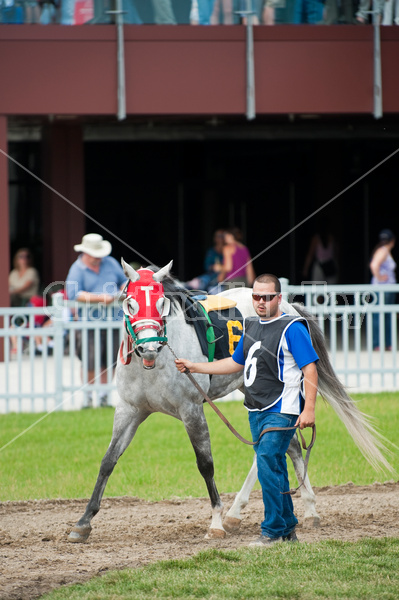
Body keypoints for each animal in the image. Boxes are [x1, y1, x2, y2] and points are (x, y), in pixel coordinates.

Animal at [68, 260, 394, 540]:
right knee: (281, 444)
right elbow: (108, 461)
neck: (154, 365)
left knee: (282, 443)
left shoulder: (191, 410)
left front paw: (215, 521)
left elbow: (205, 464)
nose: (149, 348)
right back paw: (260, 511)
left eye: (161, 303)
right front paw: (83, 522)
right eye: (130, 302)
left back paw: (290, 509)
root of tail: (290, 307)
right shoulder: (129, 410)